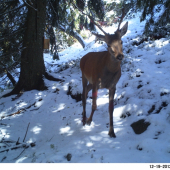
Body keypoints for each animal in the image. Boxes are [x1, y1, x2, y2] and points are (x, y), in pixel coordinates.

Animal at [79, 8, 127, 137]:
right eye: (108, 44)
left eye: (121, 41)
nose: (120, 56)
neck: (108, 75)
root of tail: (83, 57)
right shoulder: (96, 81)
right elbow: (94, 105)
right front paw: (89, 120)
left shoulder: (113, 86)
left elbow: (111, 109)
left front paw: (112, 132)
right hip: (84, 75)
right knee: (83, 94)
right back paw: (84, 119)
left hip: (91, 82)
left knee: (86, 91)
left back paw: (84, 116)